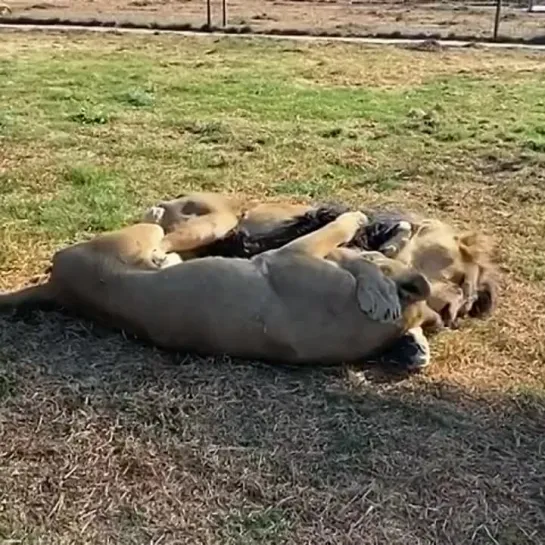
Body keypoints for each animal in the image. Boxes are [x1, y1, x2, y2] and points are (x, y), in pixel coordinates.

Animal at [0, 212, 434, 366]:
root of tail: (59, 287)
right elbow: (348, 242)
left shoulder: (290, 256)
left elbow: (343, 239)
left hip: (142, 233)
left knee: (166, 237)